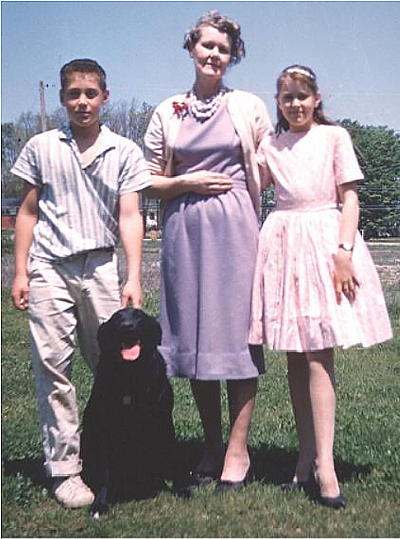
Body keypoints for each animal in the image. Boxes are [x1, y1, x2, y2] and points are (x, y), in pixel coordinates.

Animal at [81, 306, 189, 516]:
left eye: (138, 316)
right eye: (116, 319)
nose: (127, 327)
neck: (131, 376)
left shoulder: (163, 422)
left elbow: (173, 459)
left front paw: (181, 488)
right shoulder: (104, 429)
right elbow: (104, 473)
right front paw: (100, 503)